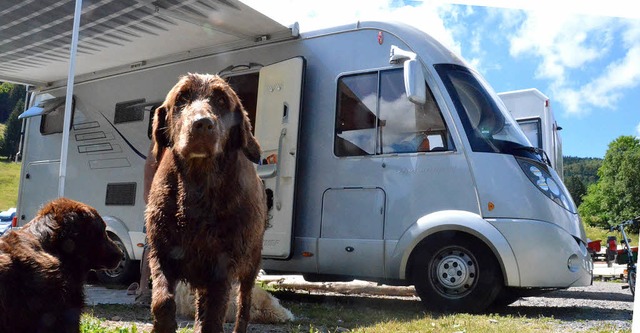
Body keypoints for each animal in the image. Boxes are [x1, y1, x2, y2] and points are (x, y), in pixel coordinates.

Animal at [146, 73, 268, 332]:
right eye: (182, 98)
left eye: (221, 100)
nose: (202, 124)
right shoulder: (161, 251)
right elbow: (162, 301)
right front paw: (164, 325)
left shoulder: (222, 264)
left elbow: (214, 312)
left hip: (251, 263)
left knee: (244, 304)